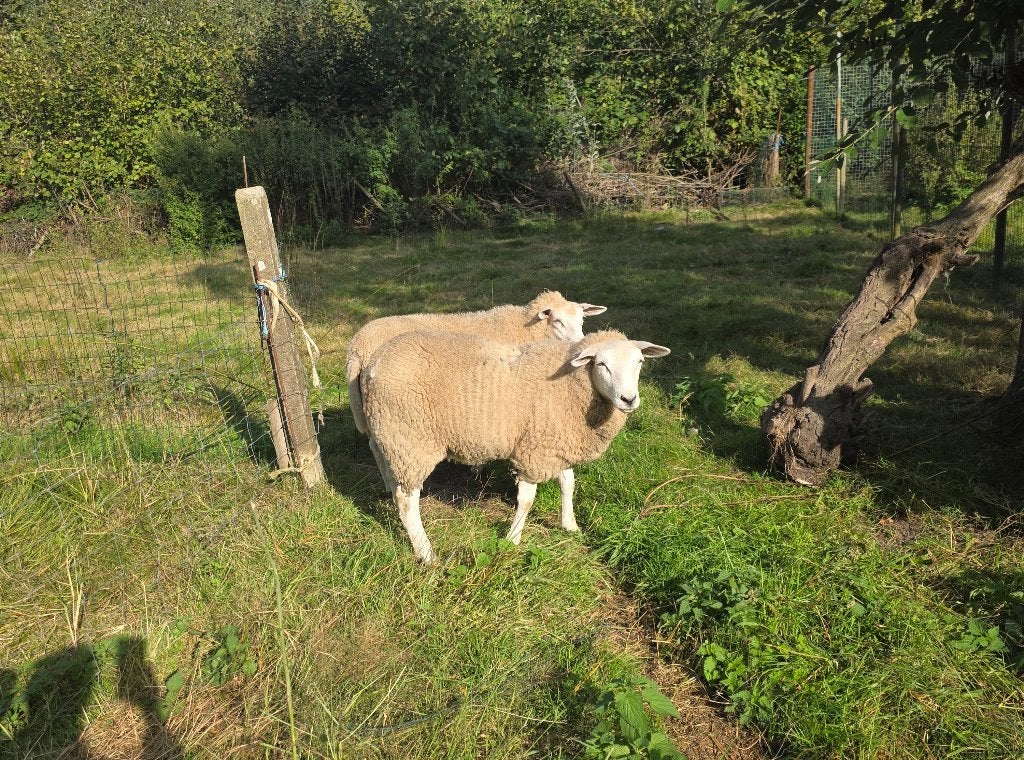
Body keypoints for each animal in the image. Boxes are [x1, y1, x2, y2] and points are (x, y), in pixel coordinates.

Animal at [360, 329, 670, 563]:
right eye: (601, 364)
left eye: (639, 362)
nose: (629, 399)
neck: (573, 387)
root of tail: (373, 362)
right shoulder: (534, 450)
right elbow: (527, 500)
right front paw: (513, 539)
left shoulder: (557, 443)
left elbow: (568, 483)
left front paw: (570, 525)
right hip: (411, 438)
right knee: (407, 500)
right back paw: (426, 553)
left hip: (389, 434)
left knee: (383, 465)